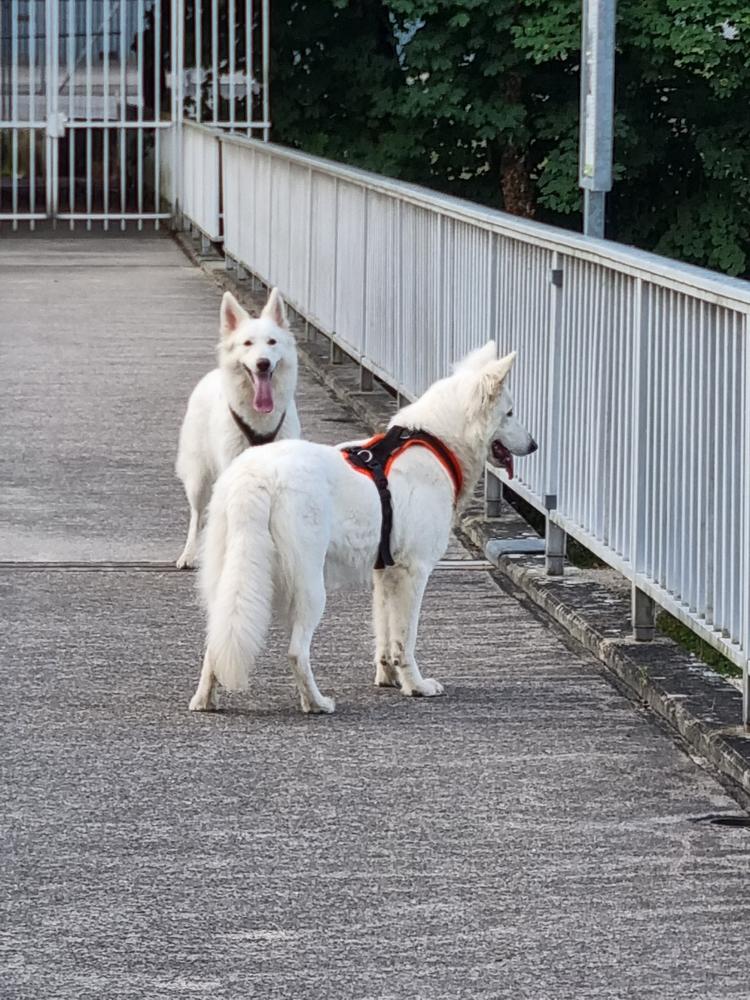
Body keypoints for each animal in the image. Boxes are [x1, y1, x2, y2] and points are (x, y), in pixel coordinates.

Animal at [175, 290, 302, 572]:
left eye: (272, 342)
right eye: (247, 343)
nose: (263, 363)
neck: (260, 420)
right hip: (199, 478)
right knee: (196, 515)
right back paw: (189, 554)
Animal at [191, 342, 536, 712]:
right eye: (510, 413)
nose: (534, 445)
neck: (437, 443)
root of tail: (255, 476)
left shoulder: (385, 573)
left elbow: (385, 635)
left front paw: (388, 678)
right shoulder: (414, 572)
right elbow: (405, 640)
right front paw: (415, 686)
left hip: (228, 577)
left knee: (217, 640)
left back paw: (205, 699)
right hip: (310, 587)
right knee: (296, 651)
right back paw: (316, 703)